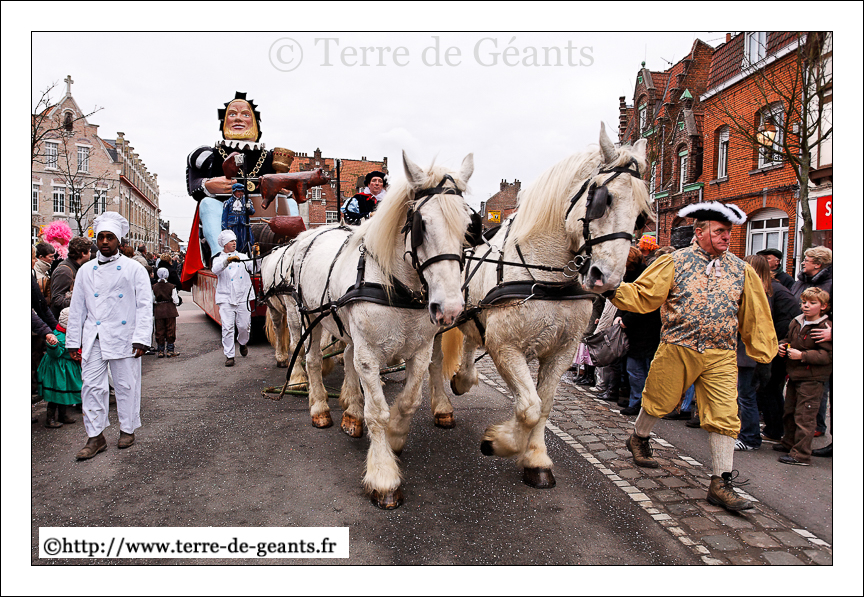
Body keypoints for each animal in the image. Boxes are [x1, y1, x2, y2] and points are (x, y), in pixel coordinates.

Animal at [280, 151, 474, 509]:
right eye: (421, 225)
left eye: (469, 227)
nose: (451, 308)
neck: (396, 286)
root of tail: (309, 235)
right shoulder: (370, 355)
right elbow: (378, 412)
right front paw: (383, 475)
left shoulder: (419, 350)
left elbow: (409, 400)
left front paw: (395, 435)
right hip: (308, 319)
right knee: (312, 361)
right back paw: (320, 407)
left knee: (347, 356)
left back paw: (351, 411)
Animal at [428, 124, 651, 489]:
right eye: (602, 201)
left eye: (641, 215)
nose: (607, 277)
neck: (546, 278)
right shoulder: (506, 347)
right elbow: (529, 407)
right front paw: (499, 442)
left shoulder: (562, 351)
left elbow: (542, 406)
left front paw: (535, 459)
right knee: (433, 365)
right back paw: (443, 406)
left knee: (471, 343)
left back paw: (463, 379)